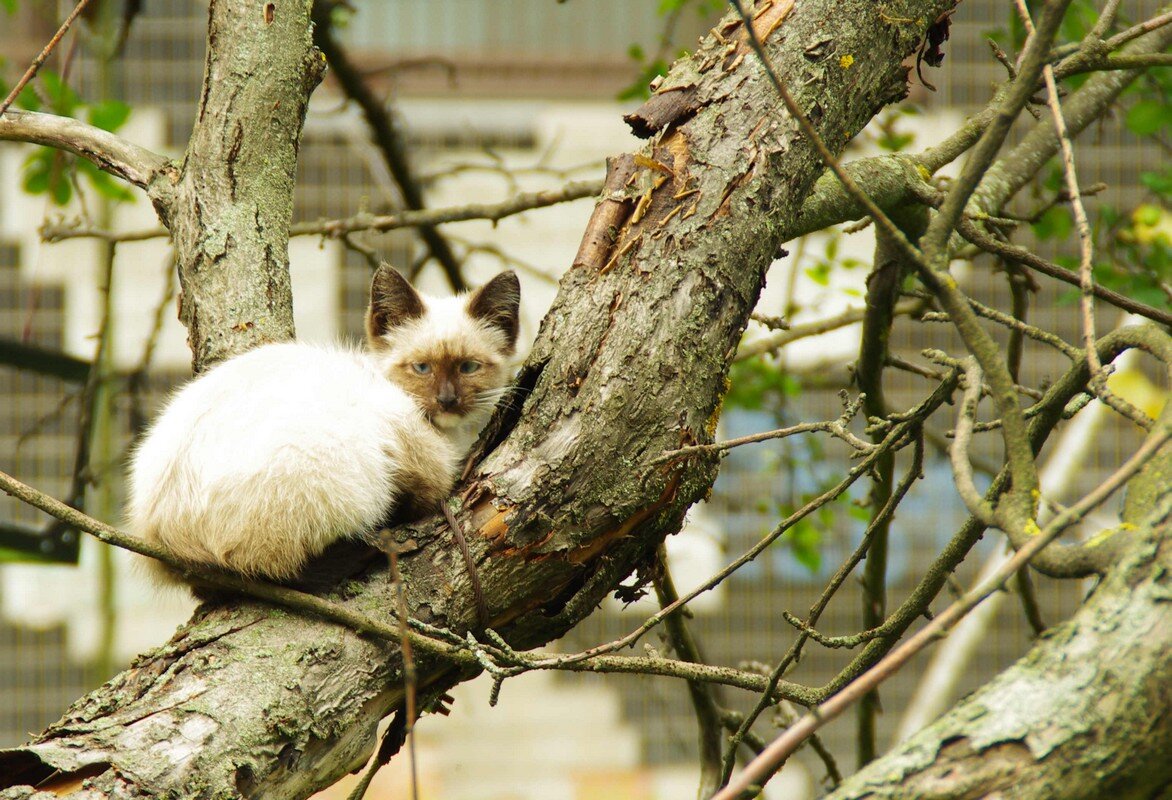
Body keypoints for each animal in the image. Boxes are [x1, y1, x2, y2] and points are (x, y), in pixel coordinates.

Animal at [124, 265, 522, 585]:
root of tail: (161, 529)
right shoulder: (416, 453)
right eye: (421, 368)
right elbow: (434, 488)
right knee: (279, 568)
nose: (447, 400)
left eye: (469, 367)